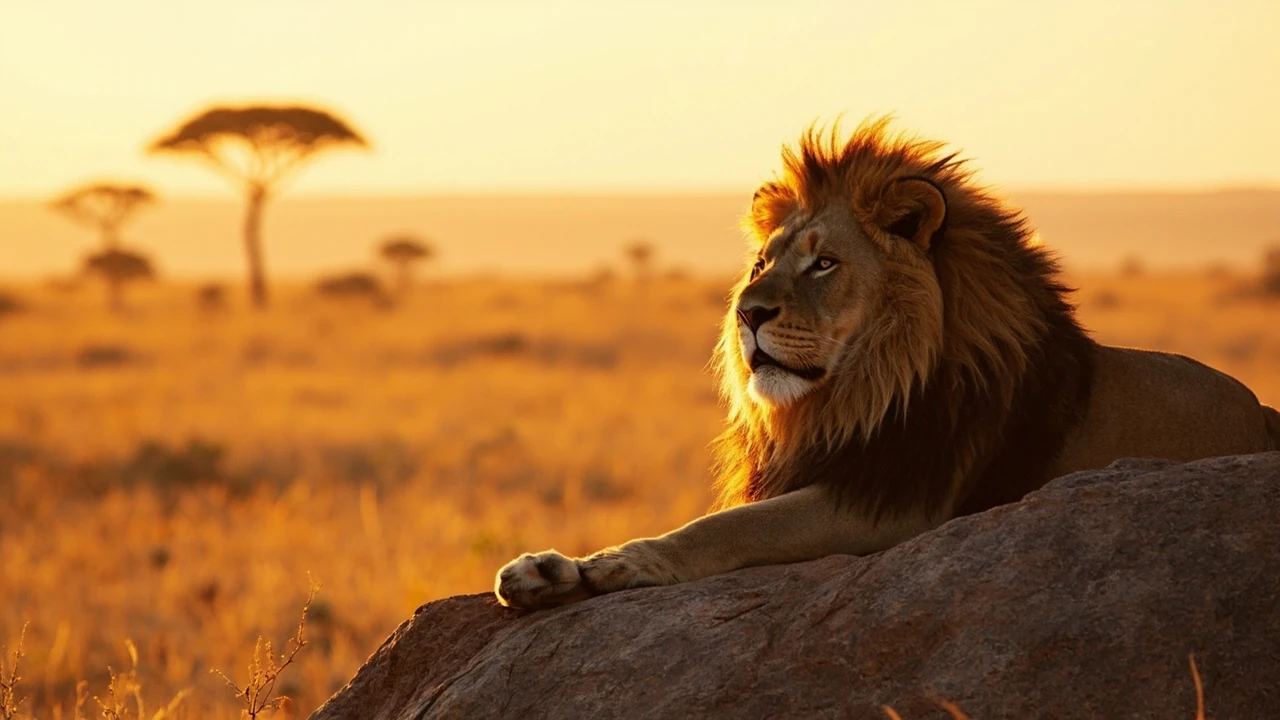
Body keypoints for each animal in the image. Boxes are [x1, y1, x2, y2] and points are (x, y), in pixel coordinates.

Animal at [495, 117, 1280, 610]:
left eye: (823, 264)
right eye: (761, 263)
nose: (748, 313)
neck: (858, 392)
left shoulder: (903, 502)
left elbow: (734, 527)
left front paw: (624, 563)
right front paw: (550, 570)